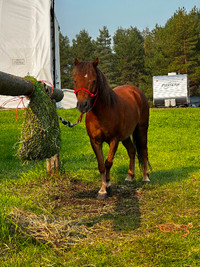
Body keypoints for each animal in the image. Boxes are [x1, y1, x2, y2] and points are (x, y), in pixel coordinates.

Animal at [73, 58, 150, 200]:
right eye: (75, 80)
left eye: (94, 80)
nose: (82, 105)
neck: (102, 112)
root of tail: (136, 91)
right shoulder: (95, 141)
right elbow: (101, 165)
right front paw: (104, 188)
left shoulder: (114, 140)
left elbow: (108, 162)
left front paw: (106, 188)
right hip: (125, 136)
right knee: (132, 151)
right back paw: (129, 177)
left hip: (141, 129)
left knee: (143, 150)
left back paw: (146, 178)